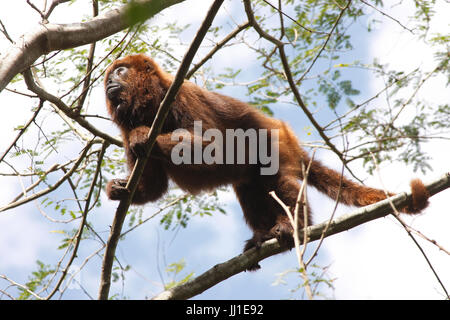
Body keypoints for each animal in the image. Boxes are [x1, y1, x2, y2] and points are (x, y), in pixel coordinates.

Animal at [103, 55, 430, 270]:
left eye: (120, 71)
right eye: (109, 76)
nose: (108, 82)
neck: (151, 103)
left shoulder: (180, 97)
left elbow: (216, 148)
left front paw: (145, 135)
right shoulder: (125, 127)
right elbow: (154, 186)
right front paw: (121, 187)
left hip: (277, 143)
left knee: (275, 179)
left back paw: (294, 225)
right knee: (250, 187)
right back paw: (262, 236)